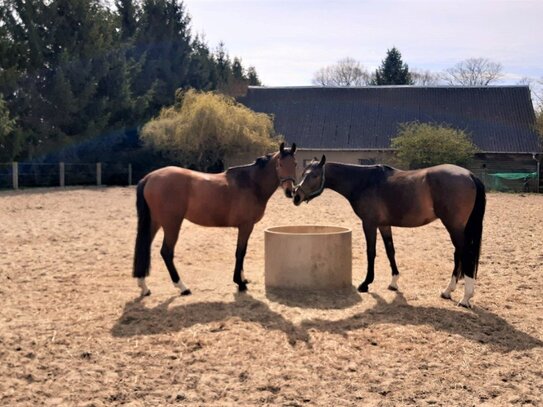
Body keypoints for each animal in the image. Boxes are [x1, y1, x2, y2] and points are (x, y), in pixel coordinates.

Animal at [134, 143, 300, 296]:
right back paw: (182, 287)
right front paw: (240, 283)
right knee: (166, 252)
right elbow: (240, 252)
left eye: (295, 164)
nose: (289, 191)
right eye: (280, 164)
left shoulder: (245, 227)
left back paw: (144, 287)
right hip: (171, 224)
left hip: (155, 222)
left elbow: (242, 251)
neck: (251, 183)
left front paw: (242, 278)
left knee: (145, 247)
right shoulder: (246, 226)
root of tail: (150, 177)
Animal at [296, 157, 486, 310]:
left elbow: (371, 252)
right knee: (458, 254)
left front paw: (365, 283)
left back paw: (465, 298)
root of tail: (469, 175)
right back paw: (447, 291)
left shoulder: (369, 223)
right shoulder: (384, 225)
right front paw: (394, 282)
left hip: (454, 226)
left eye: (314, 175)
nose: (296, 196)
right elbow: (390, 251)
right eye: (303, 173)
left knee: (465, 255)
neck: (364, 182)